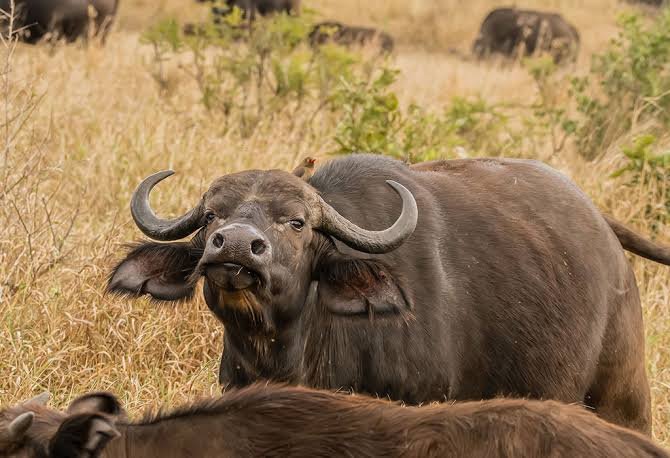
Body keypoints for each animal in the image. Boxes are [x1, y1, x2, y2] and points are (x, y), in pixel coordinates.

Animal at [109, 154, 670, 434]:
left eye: (297, 222)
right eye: (211, 218)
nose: (239, 247)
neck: (295, 350)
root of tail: (603, 229)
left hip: (624, 397)